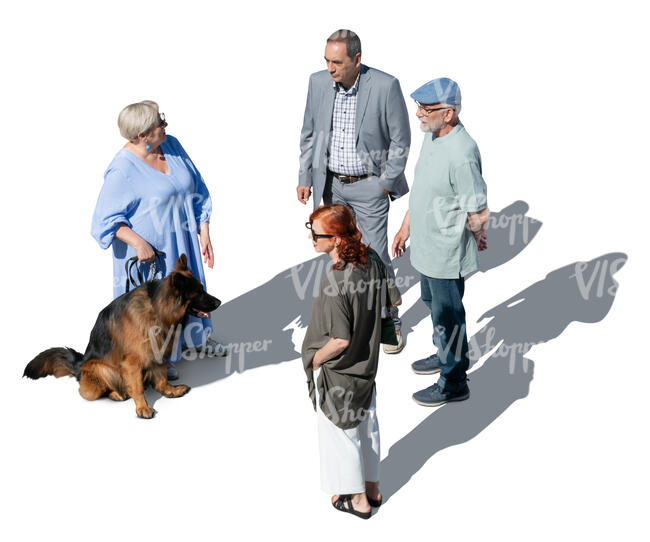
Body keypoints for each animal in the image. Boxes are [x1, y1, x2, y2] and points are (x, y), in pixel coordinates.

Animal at [23, 255, 220, 420]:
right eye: (199, 293)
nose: (218, 302)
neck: (157, 308)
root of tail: (79, 366)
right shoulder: (133, 361)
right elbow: (137, 387)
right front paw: (142, 407)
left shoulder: (156, 350)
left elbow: (161, 378)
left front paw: (169, 391)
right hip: (100, 369)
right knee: (98, 390)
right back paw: (117, 393)